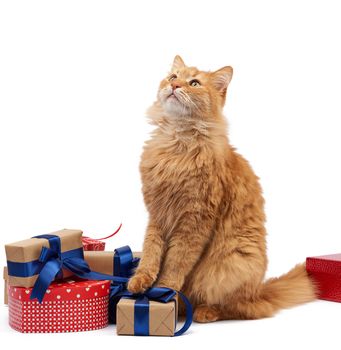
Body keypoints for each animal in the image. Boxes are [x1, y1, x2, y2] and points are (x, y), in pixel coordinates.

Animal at [127, 56, 316, 322]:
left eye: (194, 83)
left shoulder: (195, 220)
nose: (174, 86)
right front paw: (140, 281)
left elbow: (176, 262)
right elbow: (151, 252)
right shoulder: (157, 214)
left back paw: (204, 312)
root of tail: (259, 291)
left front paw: (163, 289)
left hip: (232, 263)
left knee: (235, 307)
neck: (177, 143)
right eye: (173, 77)